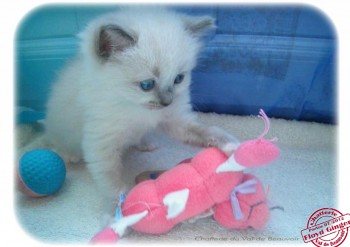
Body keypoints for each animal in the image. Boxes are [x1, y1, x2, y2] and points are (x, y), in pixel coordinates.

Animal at [45, 7, 239, 205]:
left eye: (178, 79)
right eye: (146, 85)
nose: (167, 102)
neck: (136, 108)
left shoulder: (175, 120)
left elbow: (206, 131)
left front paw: (232, 147)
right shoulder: (101, 142)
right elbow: (110, 177)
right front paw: (125, 202)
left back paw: (145, 143)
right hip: (59, 132)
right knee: (54, 141)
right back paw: (68, 155)